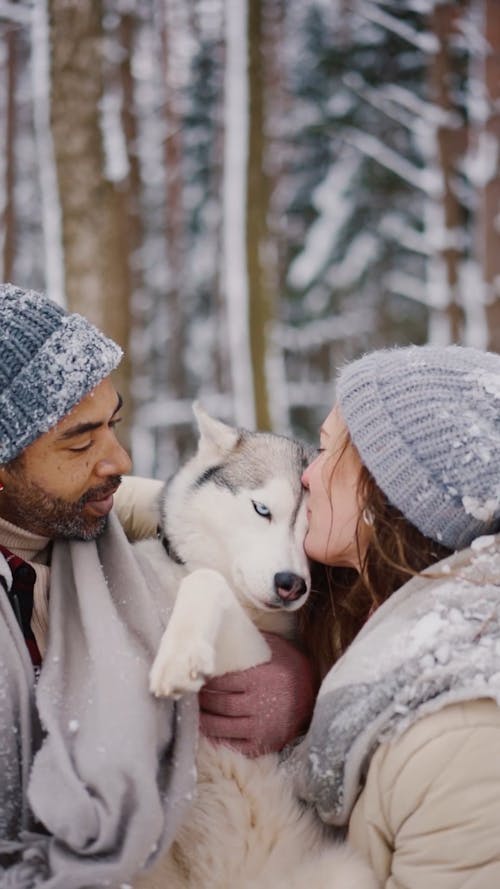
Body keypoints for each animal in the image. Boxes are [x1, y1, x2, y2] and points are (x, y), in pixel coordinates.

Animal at [132, 408, 376, 888]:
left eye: (311, 529)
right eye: (262, 510)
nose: (291, 584)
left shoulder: (254, 653)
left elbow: (206, 582)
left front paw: (179, 656)